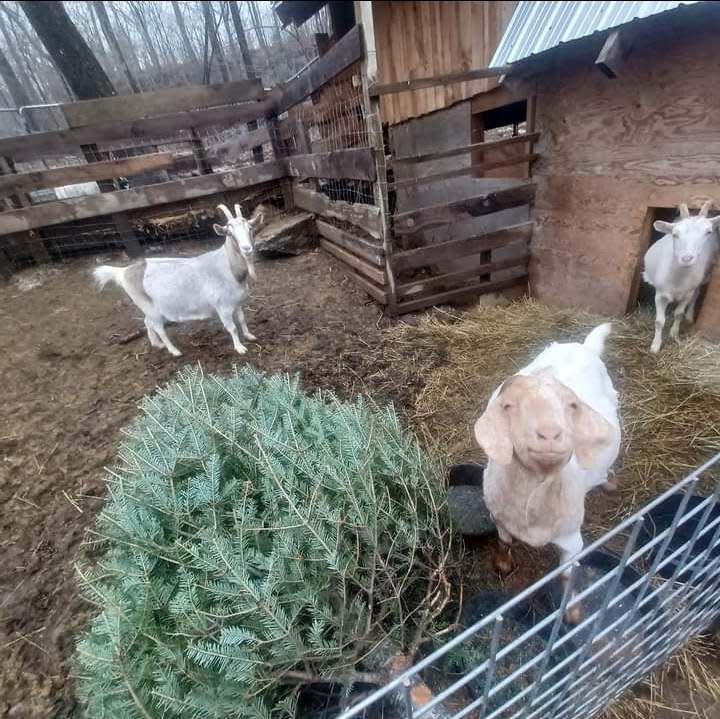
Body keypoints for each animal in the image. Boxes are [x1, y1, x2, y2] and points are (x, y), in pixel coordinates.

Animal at [94, 204, 262, 356]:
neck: (229, 269)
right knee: (158, 327)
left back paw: (157, 344)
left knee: (147, 322)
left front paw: (249, 336)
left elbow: (242, 319)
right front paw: (240, 348)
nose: (247, 249)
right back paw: (174, 350)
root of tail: (124, 272)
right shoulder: (223, 307)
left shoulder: (237, 302)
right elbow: (232, 327)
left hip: (149, 307)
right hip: (147, 305)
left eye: (250, 229)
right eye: (230, 233)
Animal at [644, 201, 716, 352]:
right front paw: (655, 346)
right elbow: (659, 321)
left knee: (697, 294)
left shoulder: (687, 294)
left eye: (708, 232)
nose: (686, 258)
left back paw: (689, 317)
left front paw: (674, 334)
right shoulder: (660, 294)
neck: (678, 279)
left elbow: (678, 314)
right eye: (675, 234)